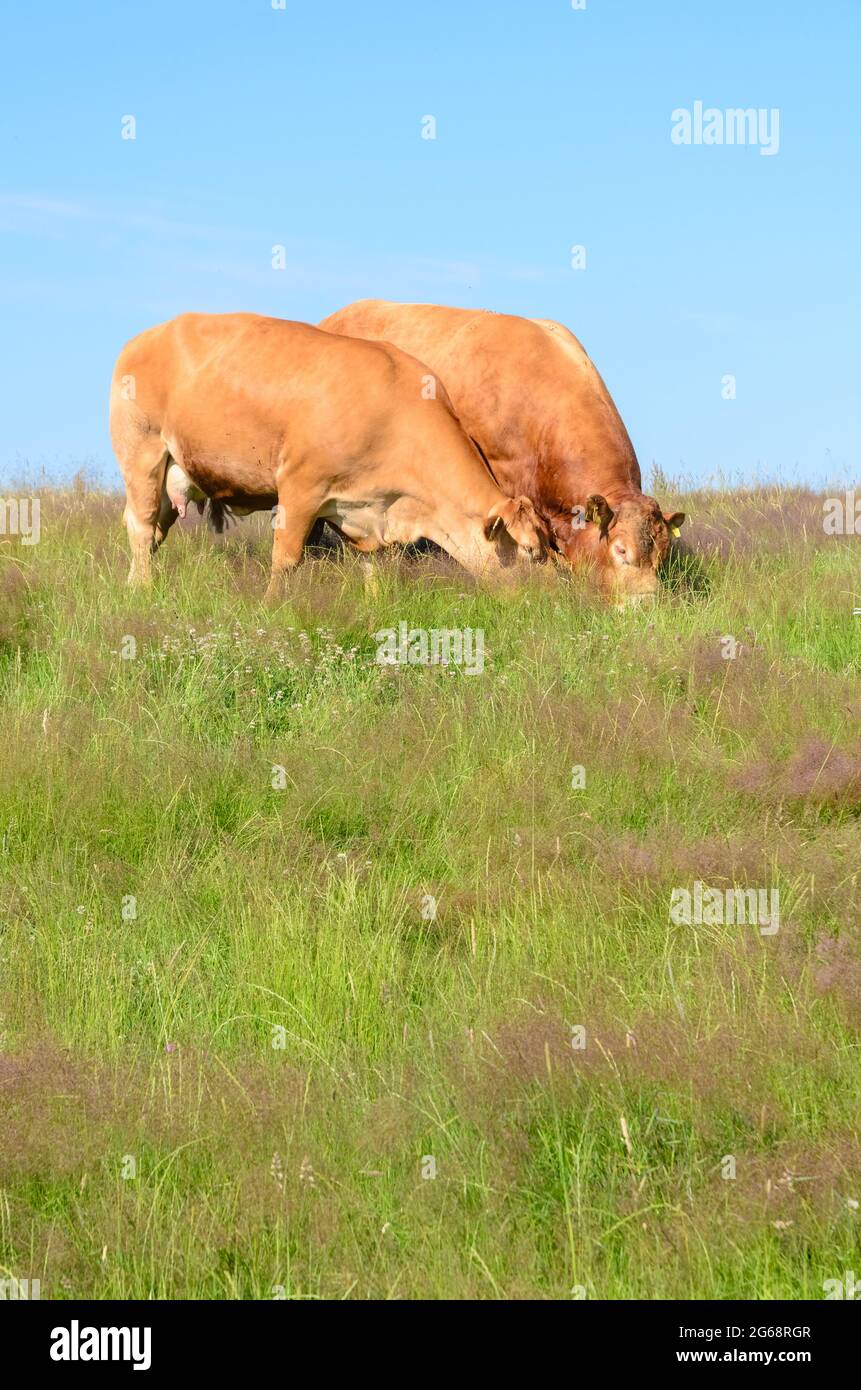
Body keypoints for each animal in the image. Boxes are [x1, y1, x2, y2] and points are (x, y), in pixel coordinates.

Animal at [111, 312, 548, 594]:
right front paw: (273, 605)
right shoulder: (300, 487)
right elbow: (286, 559)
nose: (540, 601)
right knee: (141, 526)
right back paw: (142, 590)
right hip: (142, 455)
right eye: (530, 551)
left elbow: (374, 565)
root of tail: (145, 337)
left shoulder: (369, 508)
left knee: (153, 532)